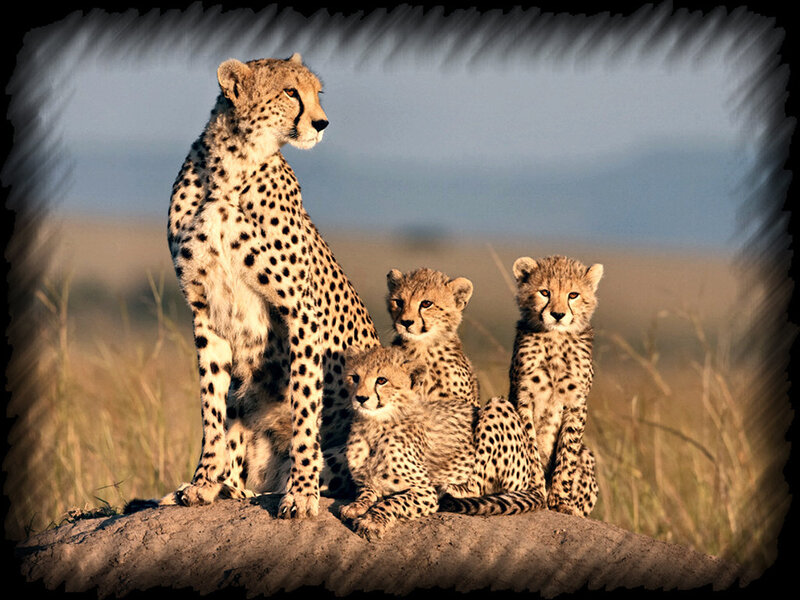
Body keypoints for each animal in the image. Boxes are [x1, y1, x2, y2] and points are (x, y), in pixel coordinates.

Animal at [158, 53, 381, 519]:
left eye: (316, 92)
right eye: (290, 92)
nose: (322, 123)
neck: (231, 168)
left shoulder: (301, 312)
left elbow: (305, 407)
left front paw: (301, 492)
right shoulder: (204, 311)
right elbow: (211, 405)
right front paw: (203, 483)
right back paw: (224, 487)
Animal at [339, 345, 542, 540]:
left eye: (381, 380)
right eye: (355, 377)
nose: (360, 398)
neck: (373, 427)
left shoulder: (425, 492)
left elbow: (393, 501)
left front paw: (371, 521)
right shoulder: (366, 481)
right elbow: (366, 491)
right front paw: (356, 506)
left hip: (497, 406)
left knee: (479, 485)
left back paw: (452, 488)